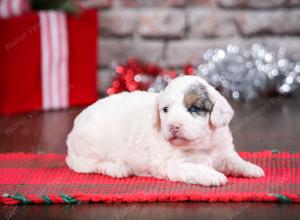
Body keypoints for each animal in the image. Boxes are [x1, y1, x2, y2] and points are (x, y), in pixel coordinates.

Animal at [66, 75, 264, 186]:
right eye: (165, 109)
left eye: (194, 108)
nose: (173, 126)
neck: (201, 145)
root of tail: (72, 131)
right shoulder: (171, 163)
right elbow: (195, 167)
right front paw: (213, 175)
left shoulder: (222, 152)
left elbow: (235, 161)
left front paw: (252, 168)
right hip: (90, 149)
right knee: (87, 165)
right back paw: (117, 168)